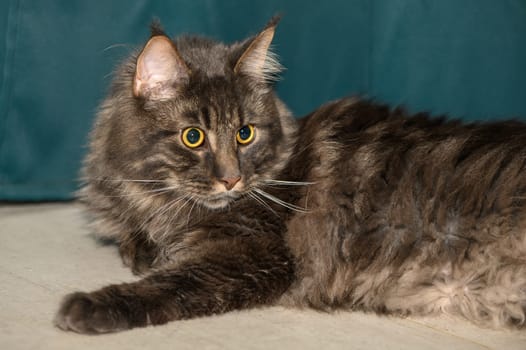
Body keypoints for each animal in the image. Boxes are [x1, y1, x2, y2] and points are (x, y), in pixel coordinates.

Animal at [54, 17, 526, 334]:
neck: (154, 198)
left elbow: (173, 282)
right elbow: (140, 249)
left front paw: (90, 306)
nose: (232, 180)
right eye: (193, 137)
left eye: (244, 133)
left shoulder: (253, 254)